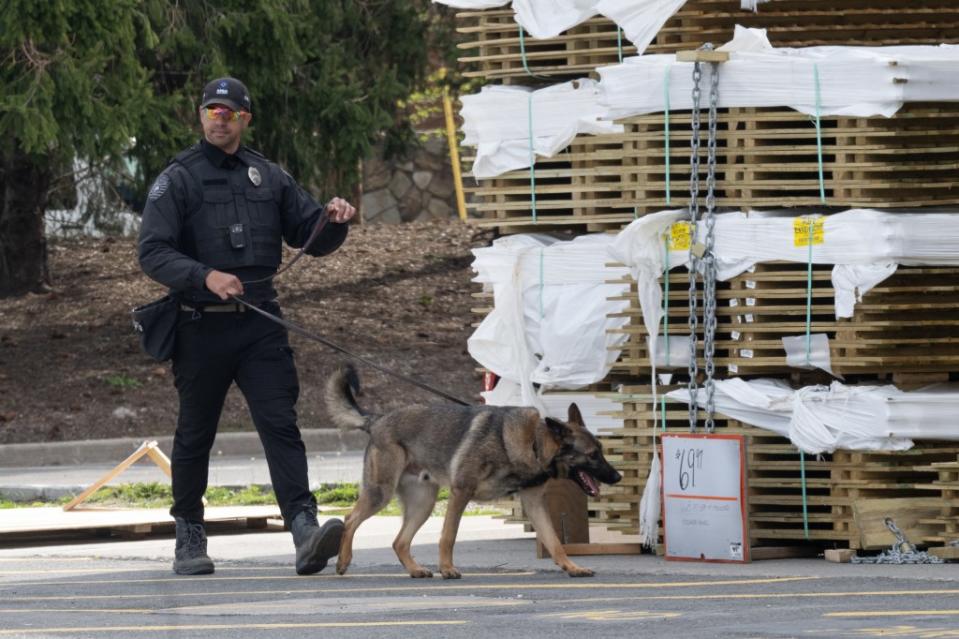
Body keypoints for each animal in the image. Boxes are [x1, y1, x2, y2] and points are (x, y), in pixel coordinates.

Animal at [324, 364, 624, 580]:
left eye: (601, 450)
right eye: (592, 455)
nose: (617, 477)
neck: (533, 443)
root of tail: (377, 419)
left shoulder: (534, 504)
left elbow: (554, 540)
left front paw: (572, 567)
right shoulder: (461, 492)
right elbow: (449, 535)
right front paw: (447, 568)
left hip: (423, 503)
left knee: (399, 541)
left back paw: (415, 570)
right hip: (381, 493)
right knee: (350, 519)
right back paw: (343, 561)